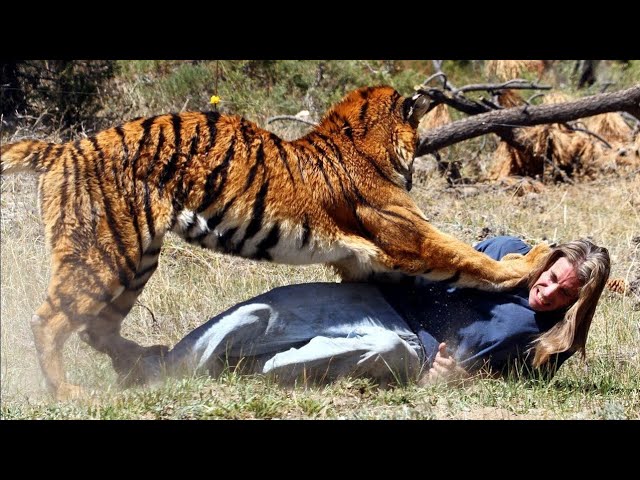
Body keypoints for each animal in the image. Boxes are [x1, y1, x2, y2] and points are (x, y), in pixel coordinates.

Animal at [0, 85, 550, 400]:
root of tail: (63, 149)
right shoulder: (408, 237)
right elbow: (468, 257)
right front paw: (532, 259)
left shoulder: (368, 260)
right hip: (105, 253)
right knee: (49, 321)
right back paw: (68, 391)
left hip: (135, 261)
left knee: (97, 327)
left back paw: (140, 362)